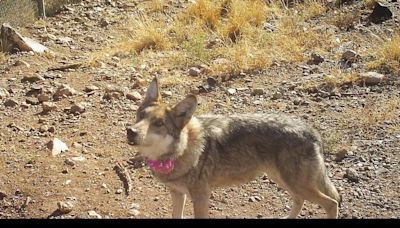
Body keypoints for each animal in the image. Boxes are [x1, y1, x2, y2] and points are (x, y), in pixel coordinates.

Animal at [127, 77, 340, 218]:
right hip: (283, 179)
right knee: (300, 200)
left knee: (332, 203)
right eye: (140, 116)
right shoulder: (177, 193)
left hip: (295, 182)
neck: (180, 151)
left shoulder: (201, 196)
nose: (130, 131)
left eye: (159, 124)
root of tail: (312, 131)